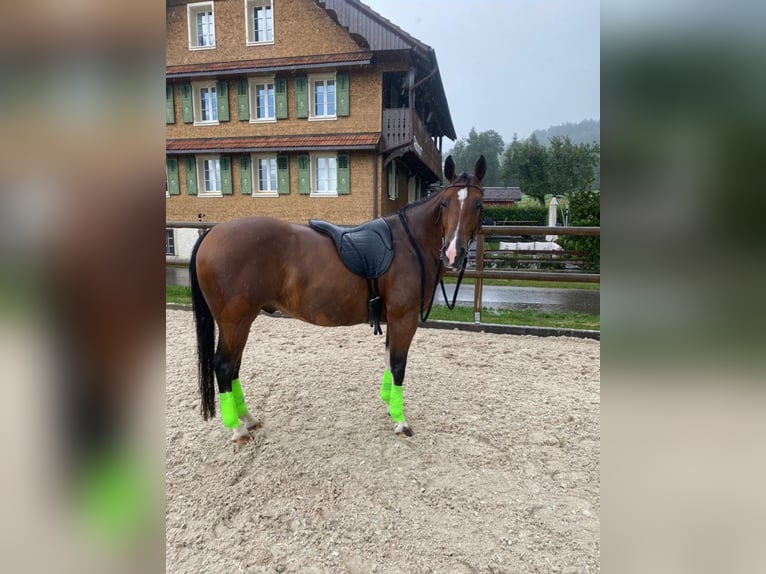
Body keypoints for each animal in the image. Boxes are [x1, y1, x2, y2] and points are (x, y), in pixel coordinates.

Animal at [189, 155, 486, 443]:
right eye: (445, 203)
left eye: (478, 204)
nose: (453, 253)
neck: (409, 243)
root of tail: (212, 234)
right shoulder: (405, 318)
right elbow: (399, 366)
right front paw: (401, 421)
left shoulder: (394, 319)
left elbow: (389, 361)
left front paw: (389, 406)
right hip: (235, 321)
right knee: (224, 366)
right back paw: (237, 429)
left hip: (239, 322)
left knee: (234, 367)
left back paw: (248, 419)